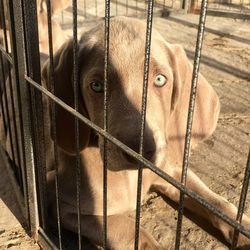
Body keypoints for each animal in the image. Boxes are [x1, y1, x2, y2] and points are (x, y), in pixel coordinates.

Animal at [23, 16, 250, 249]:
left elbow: (216, 202)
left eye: (160, 80)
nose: (139, 151)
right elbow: (130, 229)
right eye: (96, 86)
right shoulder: (59, 202)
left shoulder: (171, 170)